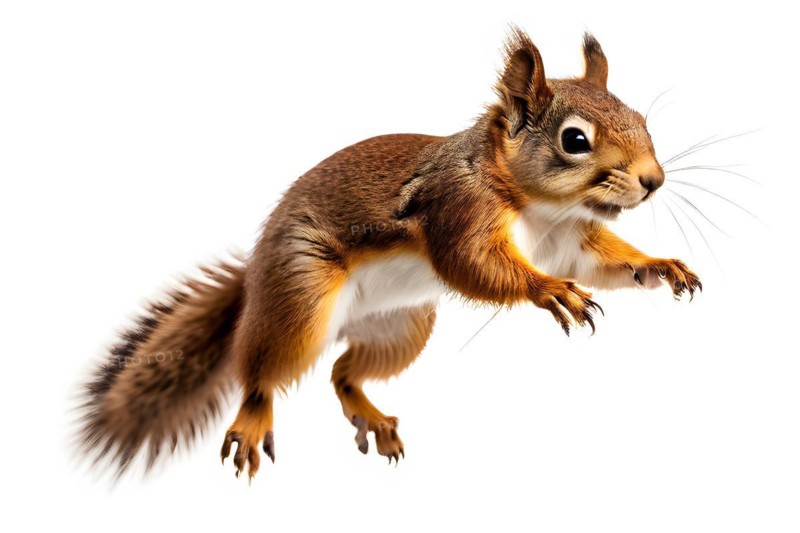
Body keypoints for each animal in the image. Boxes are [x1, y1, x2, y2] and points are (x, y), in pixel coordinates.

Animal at [76, 28, 701, 481]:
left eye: (642, 120)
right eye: (575, 140)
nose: (654, 181)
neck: (537, 207)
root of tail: (255, 276)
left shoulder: (568, 238)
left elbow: (602, 261)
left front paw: (660, 265)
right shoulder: (457, 209)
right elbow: (474, 263)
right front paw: (548, 289)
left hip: (400, 328)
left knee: (341, 372)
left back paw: (371, 416)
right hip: (301, 298)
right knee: (260, 370)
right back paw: (254, 418)